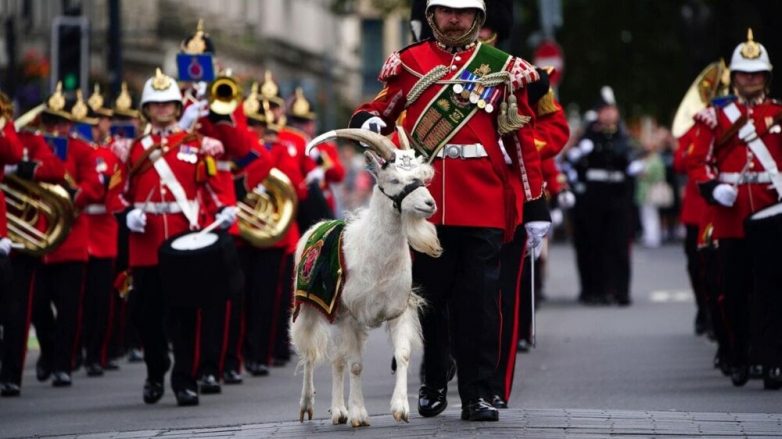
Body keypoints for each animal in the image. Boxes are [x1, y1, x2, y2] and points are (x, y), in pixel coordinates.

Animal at [292, 129, 444, 428]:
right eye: (394, 179)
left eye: (421, 176)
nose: (429, 204)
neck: (377, 259)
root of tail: (318, 225)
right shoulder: (351, 315)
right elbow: (356, 365)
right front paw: (359, 415)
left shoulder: (397, 310)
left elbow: (402, 355)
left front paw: (400, 409)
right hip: (309, 308)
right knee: (310, 354)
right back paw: (307, 407)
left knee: (336, 360)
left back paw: (339, 411)